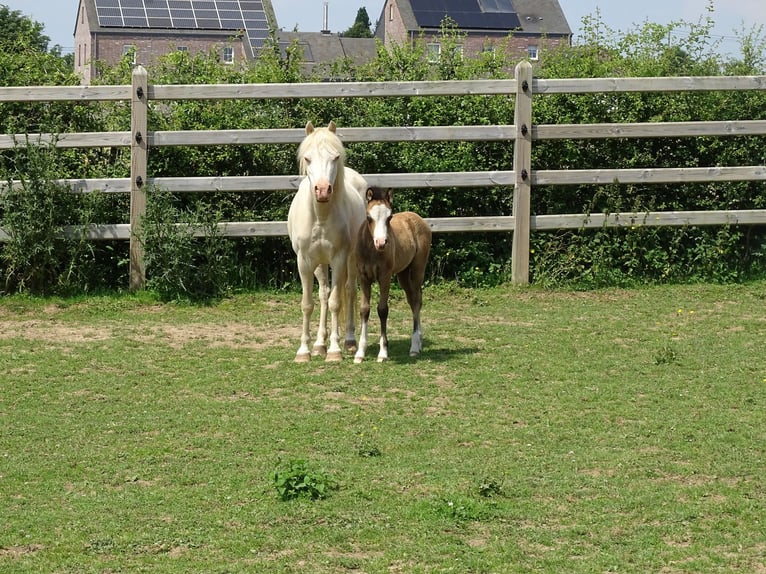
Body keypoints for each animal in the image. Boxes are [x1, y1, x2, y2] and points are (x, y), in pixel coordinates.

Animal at [290, 121, 370, 362]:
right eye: (307, 158)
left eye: (335, 157)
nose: (323, 190)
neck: (321, 216)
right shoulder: (304, 262)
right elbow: (308, 304)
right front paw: (304, 351)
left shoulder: (339, 258)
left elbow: (336, 303)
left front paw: (334, 351)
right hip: (320, 263)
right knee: (324, 294)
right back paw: (319, 344)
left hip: (351, 260)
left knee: (349, 290)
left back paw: (350, 341)